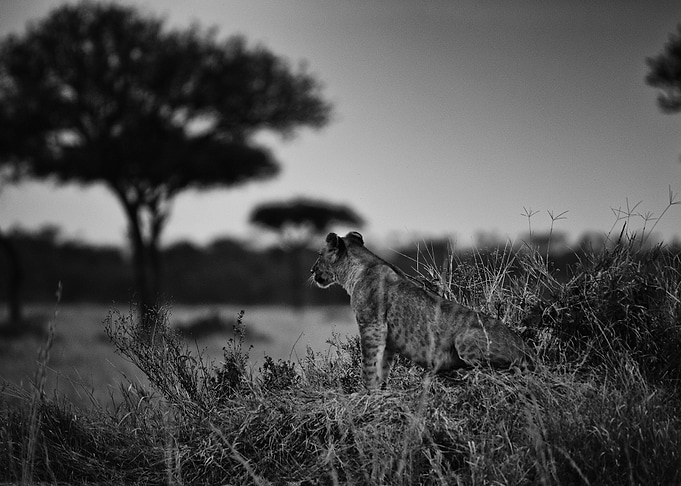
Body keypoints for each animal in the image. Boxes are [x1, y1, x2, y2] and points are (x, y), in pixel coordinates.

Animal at [311, 231, 532, 390]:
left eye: (320, 255)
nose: (311, 271)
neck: (357, 270)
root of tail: (524, 345)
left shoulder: (371, 324)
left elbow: (368, 363)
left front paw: (365, 393)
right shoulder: (387, 336)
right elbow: (383, 365)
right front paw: (381, 389)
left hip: (466, 338)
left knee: (503, 373)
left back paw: (464, 375)